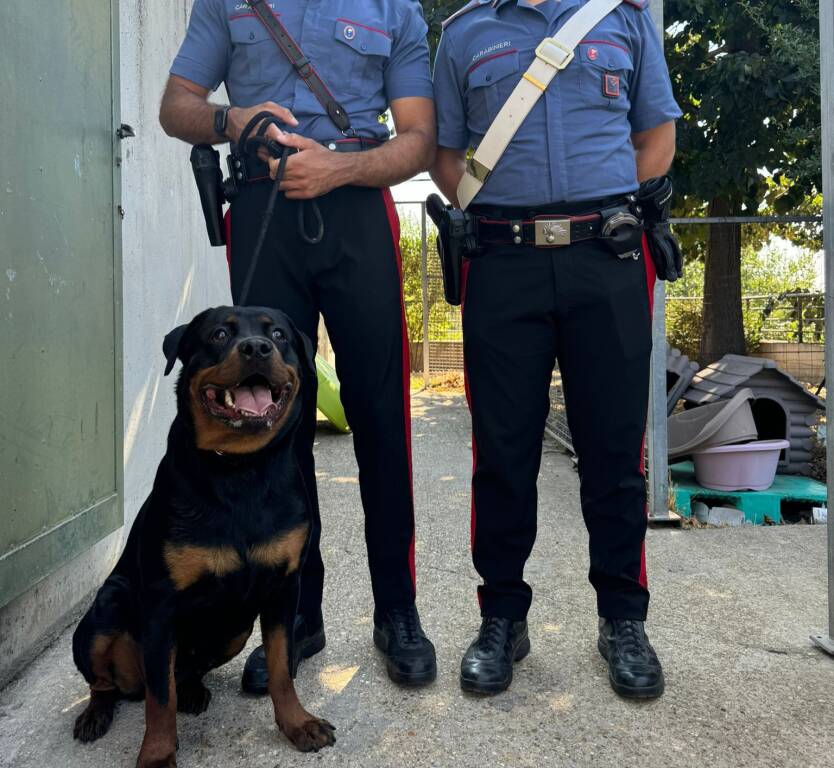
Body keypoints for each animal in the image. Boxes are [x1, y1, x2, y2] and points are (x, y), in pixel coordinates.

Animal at [70, 308, 334, 768]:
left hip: (235, 628)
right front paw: (157, 755)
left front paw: (297, 723)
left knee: (183, 672)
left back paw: (192, 691)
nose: (256, 348)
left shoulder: (283, 588)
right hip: (106, 610)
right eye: (219, 334)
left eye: (278, 335)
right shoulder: (161, 604)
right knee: (110, 682)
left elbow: (282, 668)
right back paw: (96, 714)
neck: (240, 470)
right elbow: (160, 700)